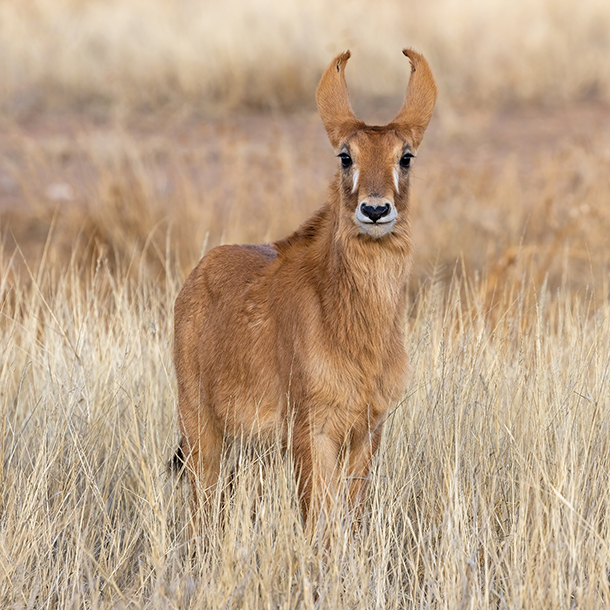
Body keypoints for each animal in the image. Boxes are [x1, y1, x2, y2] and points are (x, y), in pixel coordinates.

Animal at [173, 50, 434, 528]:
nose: (374, 210)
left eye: (405, 156)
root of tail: (199, 273)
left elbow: (350, 519)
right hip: (201, 427)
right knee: (204, 506)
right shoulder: (312, 431)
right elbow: (321, 523)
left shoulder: (368, 431)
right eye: (345, 156)